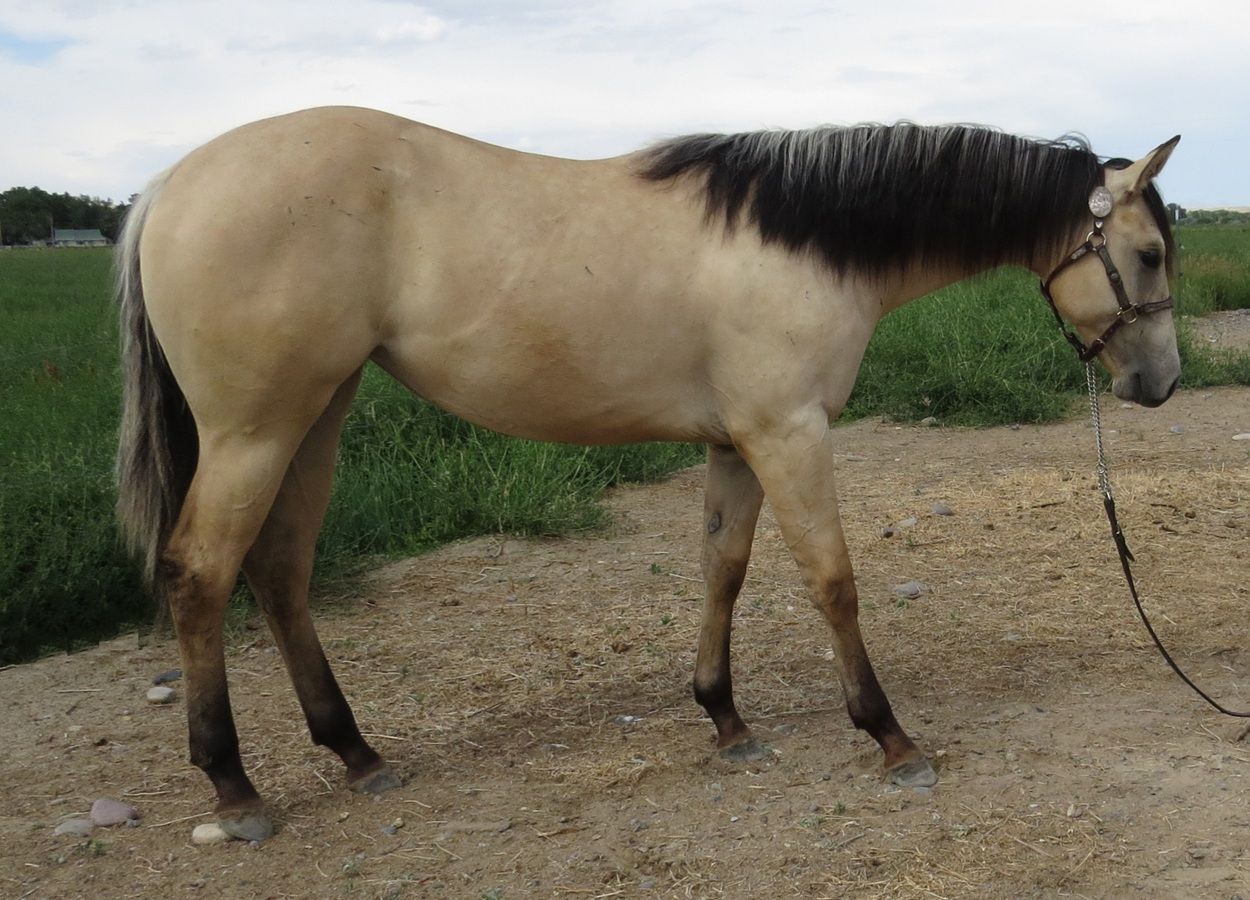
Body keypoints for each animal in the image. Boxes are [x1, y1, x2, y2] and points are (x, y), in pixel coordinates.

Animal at [114, 107, 1180, 841]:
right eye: (1147, 252)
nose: (1159, 384)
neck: (801, 238)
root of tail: (166, 184)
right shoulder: (789, 434)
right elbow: (833, 583)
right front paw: (890, 738)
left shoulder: (736, 443)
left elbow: (724, 571)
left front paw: (726, 719)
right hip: (254, 429)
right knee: (201, 574)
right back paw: (235, 788)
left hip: (316, 415)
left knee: (279, 571)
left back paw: (356, 753)